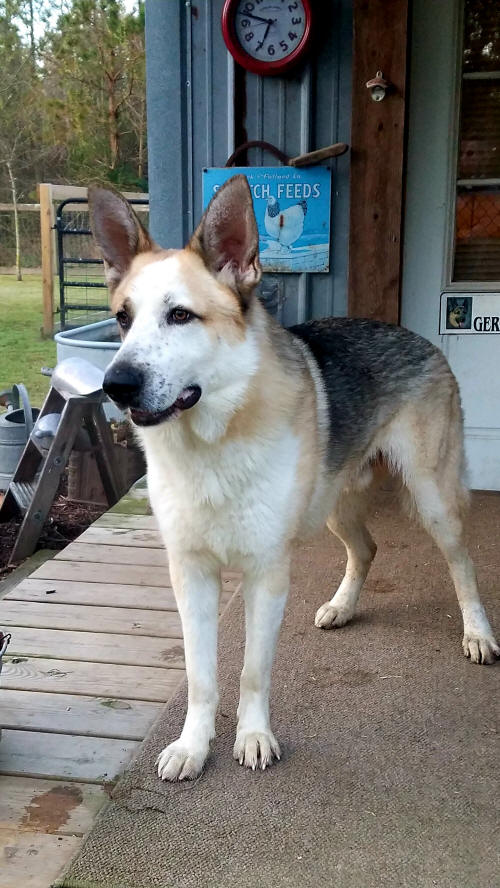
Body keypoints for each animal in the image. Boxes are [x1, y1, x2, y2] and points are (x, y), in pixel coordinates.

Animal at [88, 172, 498, 776]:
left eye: (180, 315)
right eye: (122, 318)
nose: (115, 385)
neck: (213, 442)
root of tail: (416, 335)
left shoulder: (267, 573)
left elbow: (253, 671)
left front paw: (254, 737)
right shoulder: (191, 574)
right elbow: (200, 675)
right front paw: (194, 745)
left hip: (433, 499)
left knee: (462, 563)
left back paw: (477, 633)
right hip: (334, 507)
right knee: (366, 548)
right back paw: (343, 606)